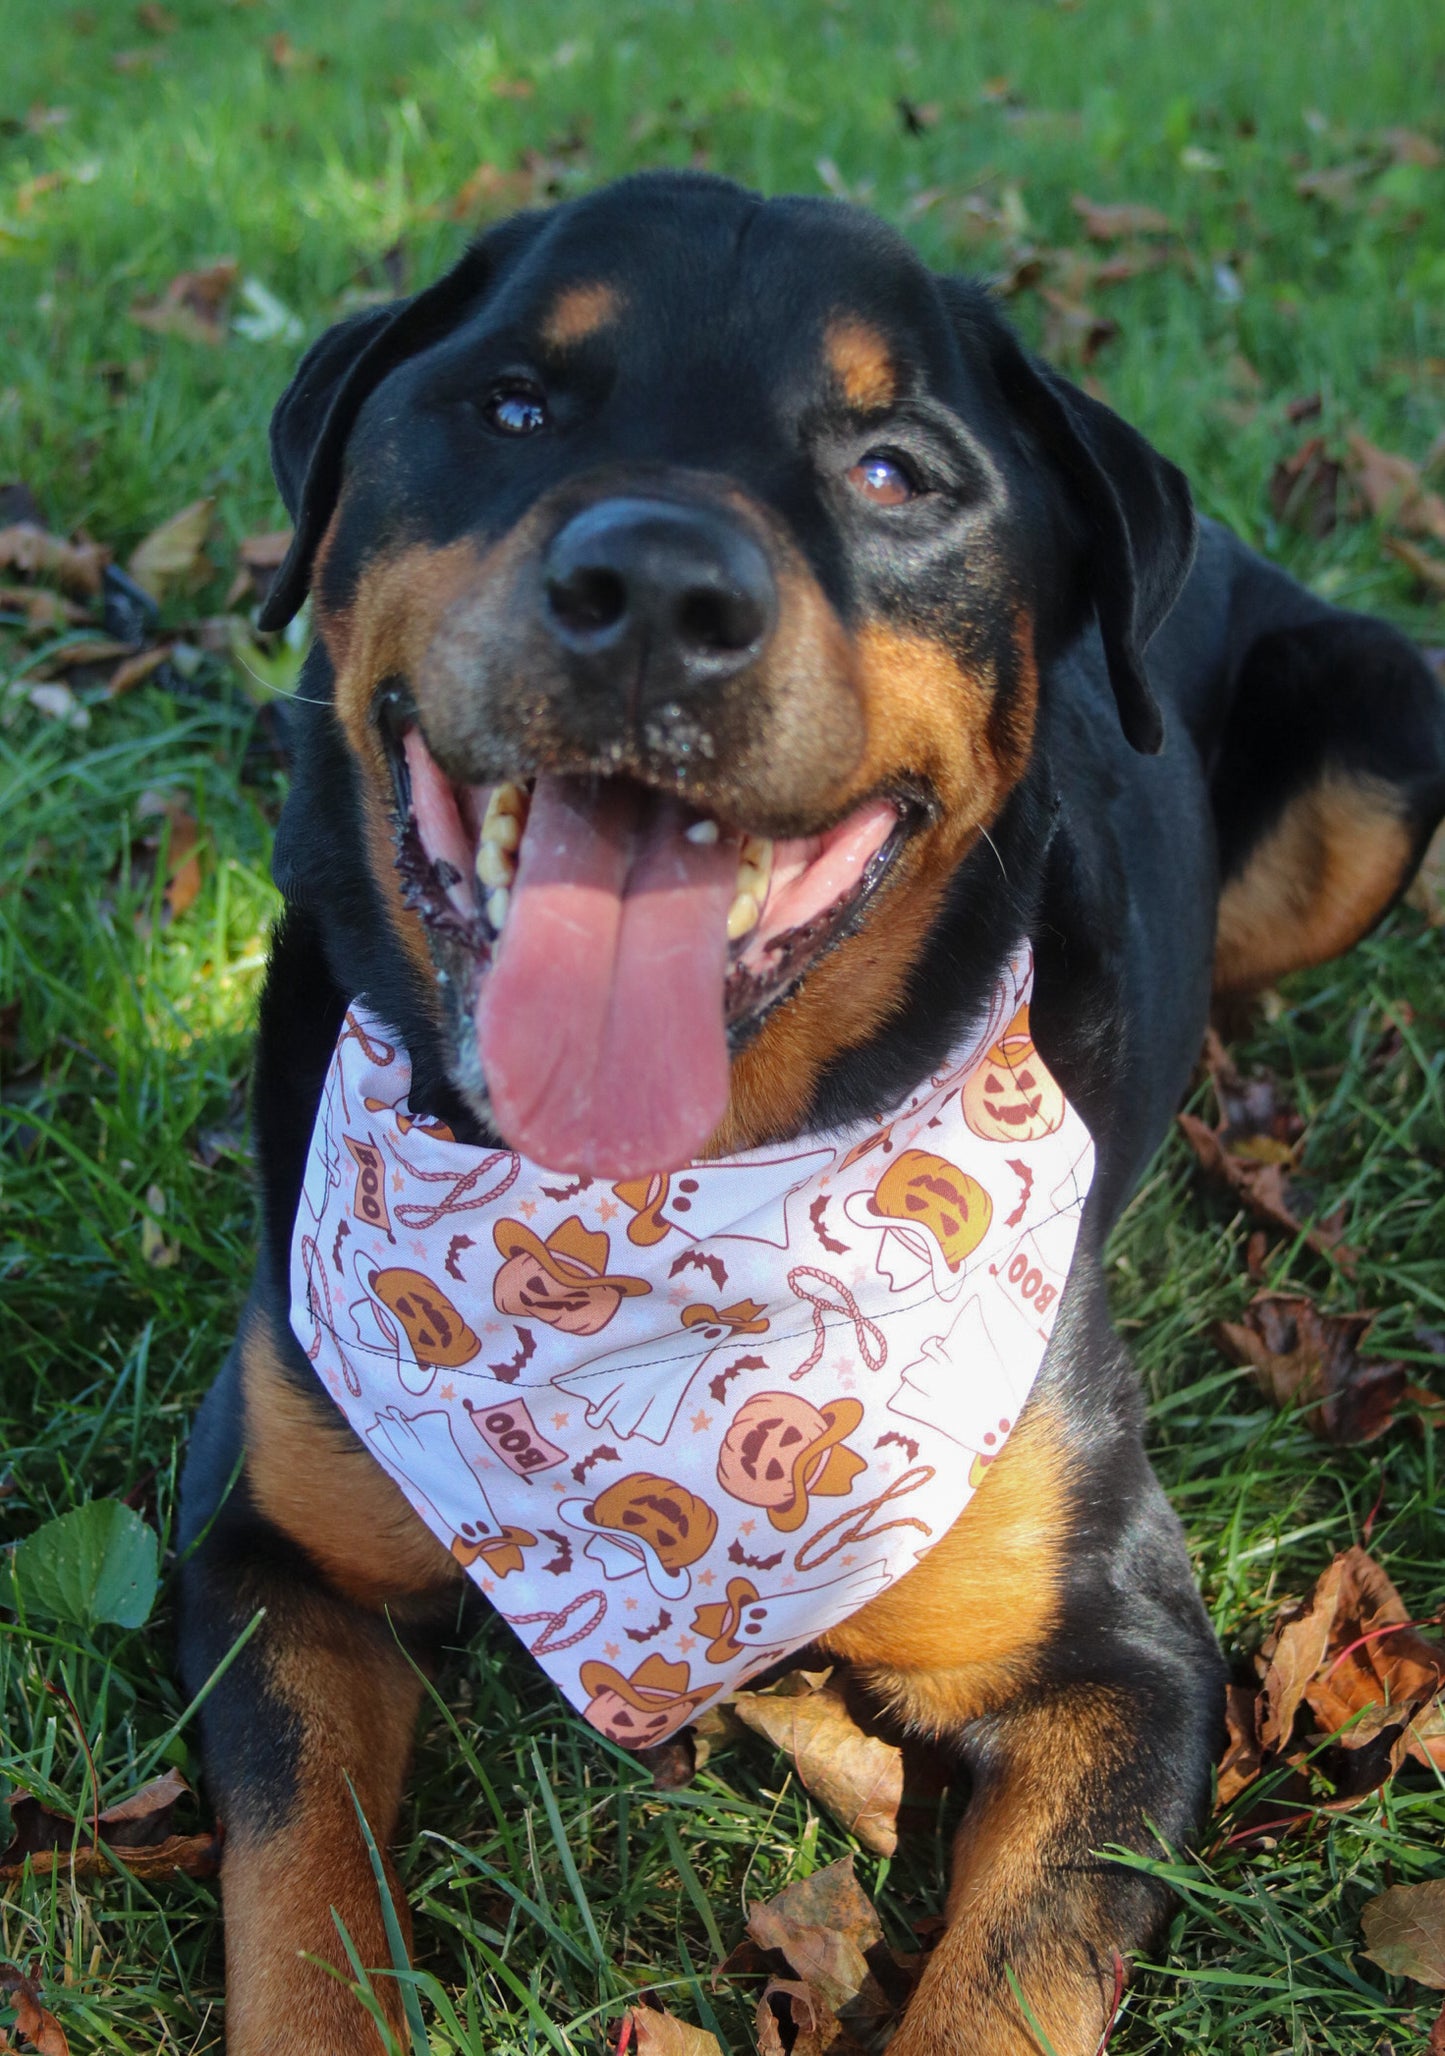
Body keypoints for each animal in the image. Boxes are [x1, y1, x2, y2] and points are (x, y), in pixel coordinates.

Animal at [177, 168, 1445, 2047]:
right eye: (512, 405)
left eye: (894, 471)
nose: (652, 587)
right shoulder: (265, 1543)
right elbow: (299, 1899)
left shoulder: (1128, 1654)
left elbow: (1009, 1984)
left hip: (1388, 717)